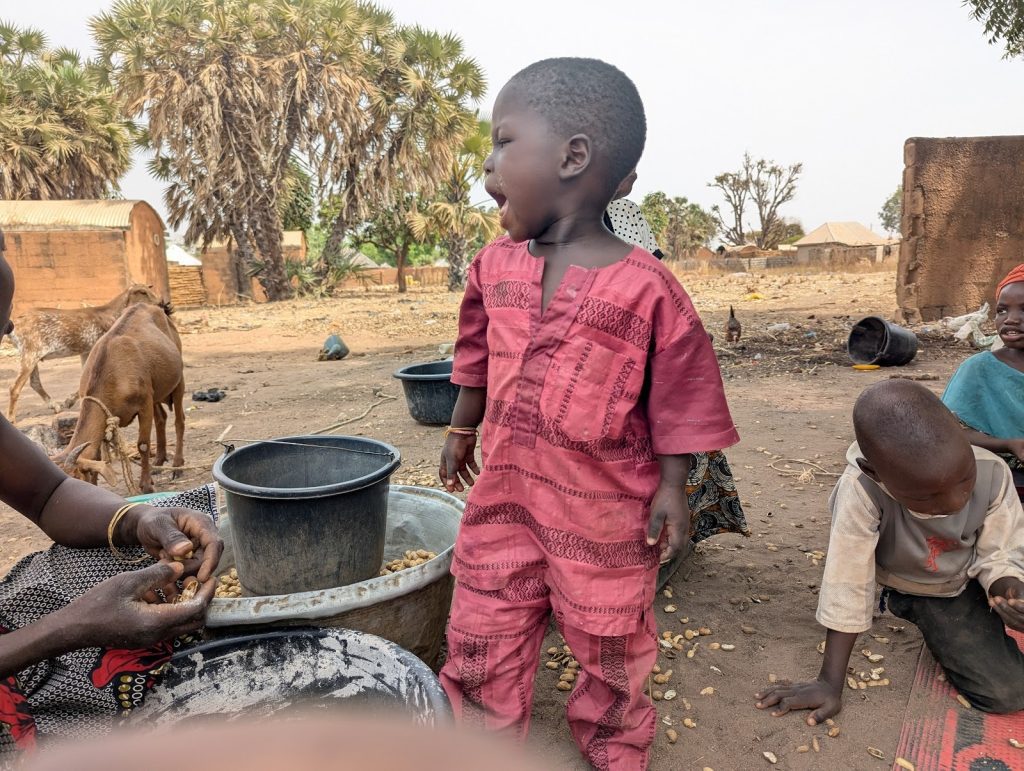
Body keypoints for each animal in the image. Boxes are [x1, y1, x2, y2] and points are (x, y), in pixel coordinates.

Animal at [6, 284, 164, 422]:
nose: (161, 303)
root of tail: (15, 324)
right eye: (142, 292)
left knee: (34, 383)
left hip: (32, 355)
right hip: (30, 353)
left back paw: (55, 406)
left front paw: (70, 402)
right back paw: (12, 418)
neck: (112, 314)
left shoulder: (86, 351)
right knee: (15, 387)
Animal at [53, 303, 185, 494]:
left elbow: (143, 444)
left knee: (179, 421)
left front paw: (146, 485)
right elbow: (98, 455)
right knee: (161, 418)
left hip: (178, 381)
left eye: (76, 478)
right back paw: (159, 462)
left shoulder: (144, 404)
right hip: (156, 392)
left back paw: (177, 466)